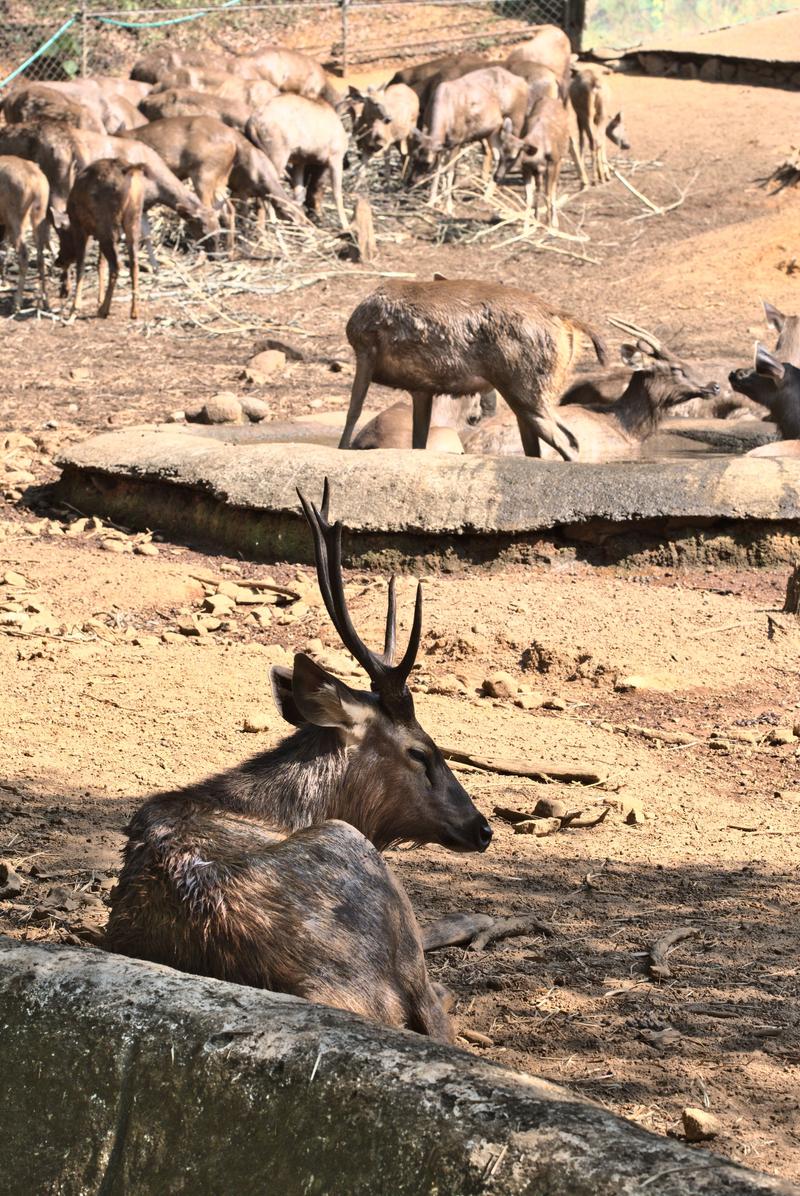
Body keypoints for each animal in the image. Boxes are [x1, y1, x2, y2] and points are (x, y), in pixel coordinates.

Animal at [102, 480, 490, 1042]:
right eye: (421, 751)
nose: (483, 828)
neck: (282, 807)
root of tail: (326, 993)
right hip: (360, 862)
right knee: (434, 1005)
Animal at [337, 277, 605, 459]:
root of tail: (565, 319)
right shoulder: (421, 386)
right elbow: (419, 439)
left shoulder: (365, 347)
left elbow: (354, 409)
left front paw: (341, 449)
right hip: (531, 392)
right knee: (552, 443)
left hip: (526, 386)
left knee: (567, 441)